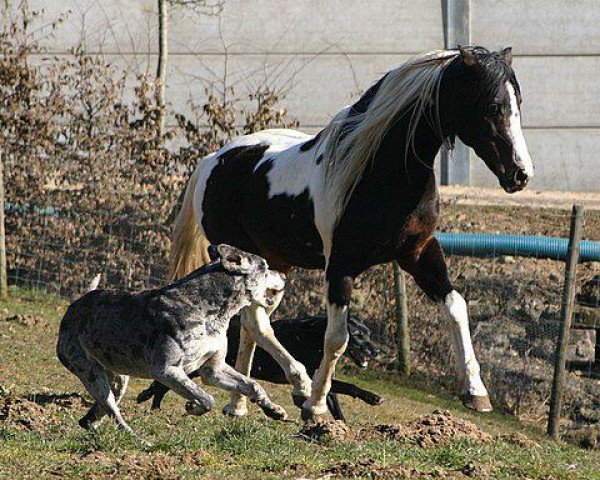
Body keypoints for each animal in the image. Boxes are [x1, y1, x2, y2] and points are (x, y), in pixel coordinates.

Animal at [57, 246, 288, 436]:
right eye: (265, 266)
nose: (284, 275)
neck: (209, 312)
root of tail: (74, 307)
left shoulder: (213, 369)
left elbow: (252, 385)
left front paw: (274, 410)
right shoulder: (167, 371)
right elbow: (207, 398)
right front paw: (193, 407)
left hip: (117, 378)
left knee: (93, 416)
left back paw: (92, 426)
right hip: (91, 374)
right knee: (114, 413)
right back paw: (139, 440)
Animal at [169, 46, 536, 420]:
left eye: (518, 101)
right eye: (493, 105)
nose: (521, 174)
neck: (383, 173)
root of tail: (213, 160)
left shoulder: (419, 253)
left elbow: (456, 306)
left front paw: (476, 393)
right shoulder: (340, 267)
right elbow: (336, 338)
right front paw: (316, 405)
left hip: (277, 266)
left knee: (251, 323)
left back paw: (240, 404)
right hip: (244, 260)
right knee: (255, 321)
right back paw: (297, 385)